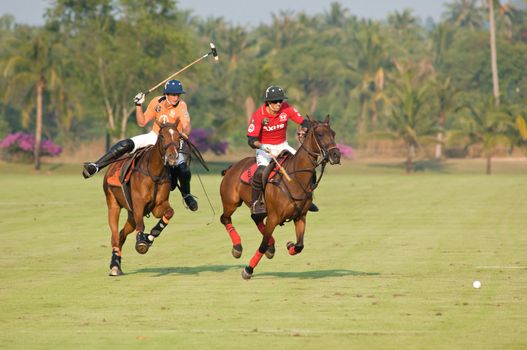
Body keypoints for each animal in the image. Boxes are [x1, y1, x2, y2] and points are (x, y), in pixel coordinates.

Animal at [104, 121, 183, 278]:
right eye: (162, 136)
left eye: (179, 136)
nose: (172, 156)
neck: (154, 172)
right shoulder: (138, 204)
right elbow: (141, 224)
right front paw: (141, 241)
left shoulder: (159, 205)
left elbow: (168, 213)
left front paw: (150, 237)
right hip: (113, 204)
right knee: (114, 236)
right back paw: (114, 266)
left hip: (130, 215)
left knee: (121, 235)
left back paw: (117, 264)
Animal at [220, 116, 340, 280]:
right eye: (320, 134)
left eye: (333, 134)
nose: (336, 155)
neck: (295, 178)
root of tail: (231, 167)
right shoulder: (274, 217)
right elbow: (262, 245)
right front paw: (248, 270)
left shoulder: (300, 216)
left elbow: (299, 245)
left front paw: (289, 246)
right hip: (231, 202)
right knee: (225, 218)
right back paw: (237, 247)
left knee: (255, 218)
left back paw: (270, 247)